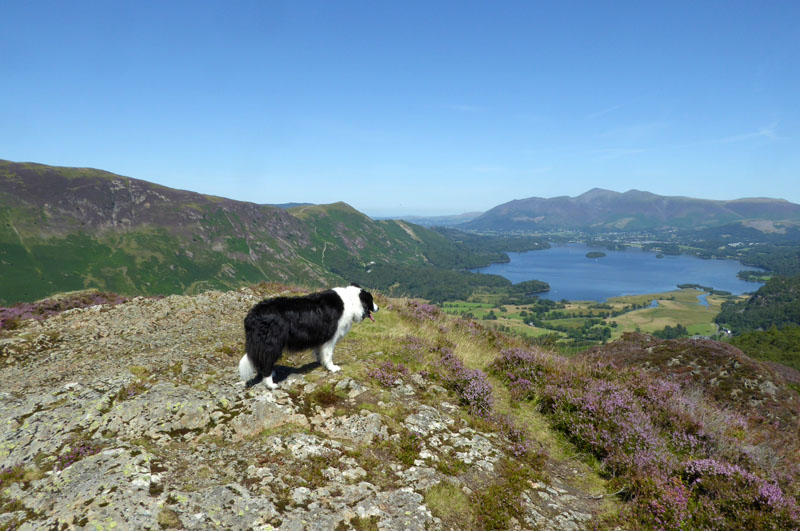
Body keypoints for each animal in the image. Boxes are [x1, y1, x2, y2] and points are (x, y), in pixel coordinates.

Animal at [238, 282, 378, 390]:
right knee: (266, 363)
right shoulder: (330, 338)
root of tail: (252, 315)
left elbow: (319, 352)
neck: (351, 301)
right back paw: (271, 384)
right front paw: (332, 368)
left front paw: (320, 362)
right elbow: (329, 354)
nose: (378, 308)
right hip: (272, 343)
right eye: (371, 300)